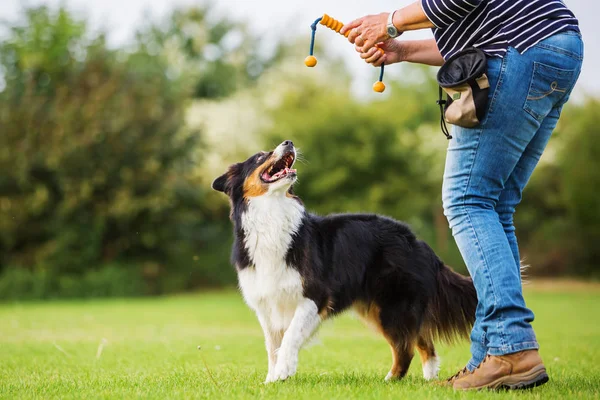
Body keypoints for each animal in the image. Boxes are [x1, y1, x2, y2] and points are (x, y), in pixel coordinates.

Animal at [213, 139, 476, 382]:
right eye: (259, 157)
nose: (289, 142)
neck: (271, 212)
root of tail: (416, 241)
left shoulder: (314, 295)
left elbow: (289, 337)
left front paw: (284, 371)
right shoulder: (267, 303)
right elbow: (272, 347)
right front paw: (272, 379)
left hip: (391, 306)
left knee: (406, 348)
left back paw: (390, 381)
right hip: (384, 307)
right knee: (423, 343)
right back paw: (429, 380)